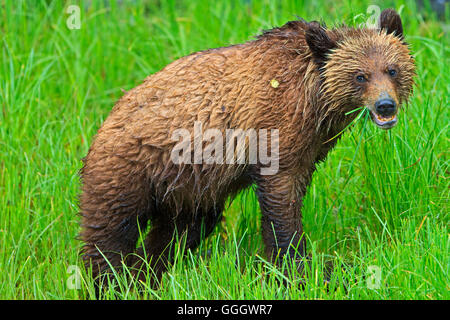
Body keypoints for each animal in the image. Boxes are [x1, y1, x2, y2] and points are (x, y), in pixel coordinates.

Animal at [78, 8, 414, 286]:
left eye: (392, 69)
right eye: (360, 76)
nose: (385, 106)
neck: (315, 101)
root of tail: (103, 124)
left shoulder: (312, 146)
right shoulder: (275, 126)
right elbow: (281, 202)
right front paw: (298, 269)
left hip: (188, 188)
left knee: (181, 231)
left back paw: (145, 275)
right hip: (131, 168)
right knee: (110, 231)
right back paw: (111, 282)